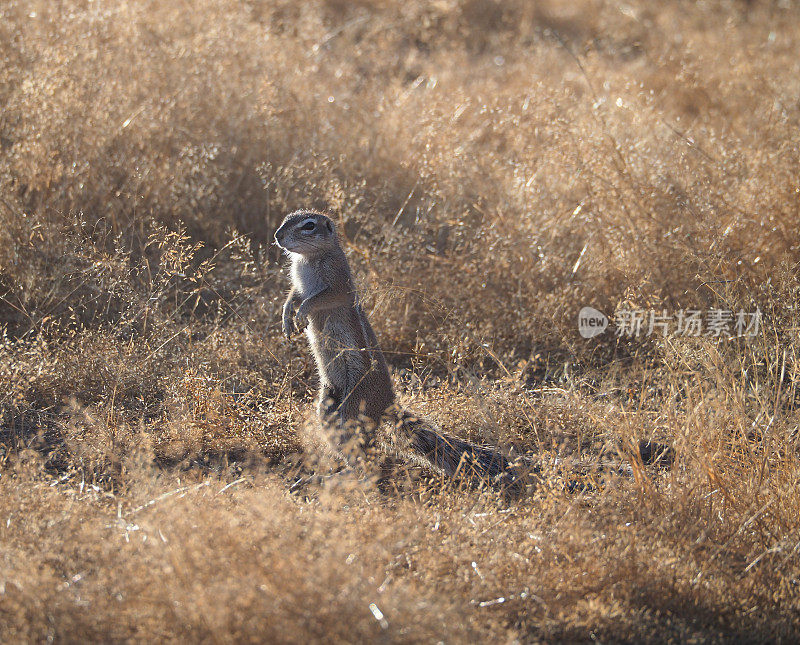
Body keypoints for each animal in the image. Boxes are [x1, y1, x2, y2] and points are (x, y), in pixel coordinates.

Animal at [276, 210, 524, 494]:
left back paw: (338, 482)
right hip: (328, 405)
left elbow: (319, 298)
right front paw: (287, 316)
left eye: (309, 226)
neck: (308, 259)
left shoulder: (337, 281)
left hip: (352, 410)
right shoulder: (299, 283)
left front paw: (302, 312)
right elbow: (294, 295)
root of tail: (387, 404)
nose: (278, 236)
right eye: (285, 220)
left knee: (370, 467)